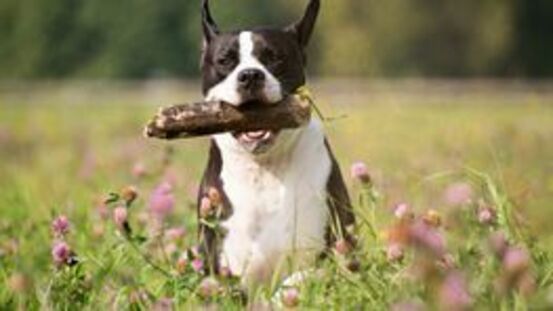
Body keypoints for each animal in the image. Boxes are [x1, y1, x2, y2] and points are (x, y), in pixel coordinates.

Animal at [198, 0, 354, 288]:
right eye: (225, 61)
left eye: (274, 57)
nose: (250, 75)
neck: (264, 167)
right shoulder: (222, 268)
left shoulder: (328, 255)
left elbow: (299, 279)